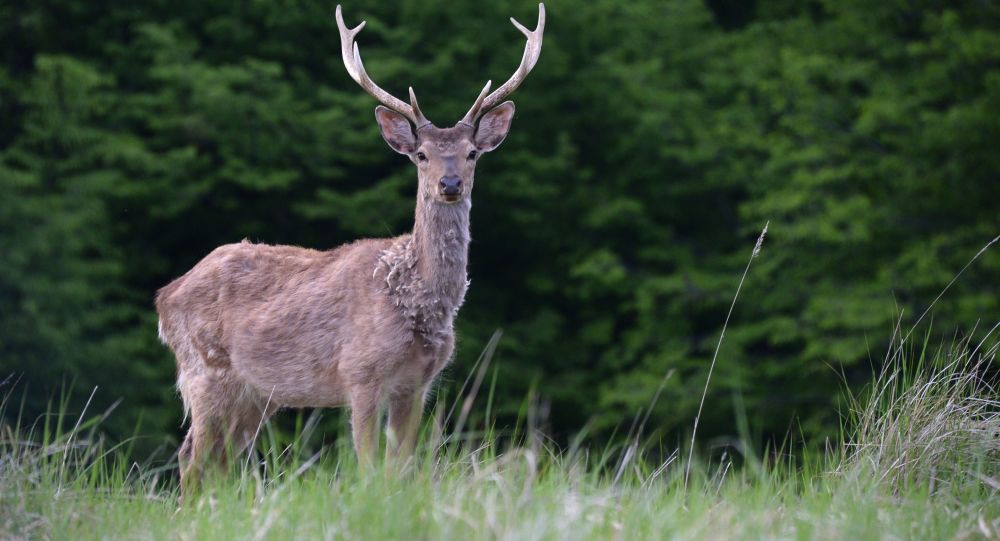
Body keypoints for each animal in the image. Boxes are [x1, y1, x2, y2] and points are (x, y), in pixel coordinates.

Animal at [156, 3, 548, 490]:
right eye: (421, 154)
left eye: (472, 152)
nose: (450, 184)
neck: (415, 300)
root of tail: (164, 295)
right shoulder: (360, 373)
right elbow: (367, 466)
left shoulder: (418, 385)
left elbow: (401, 468)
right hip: (204, 371)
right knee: (192, 460)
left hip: (255, 394)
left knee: (218, 462)